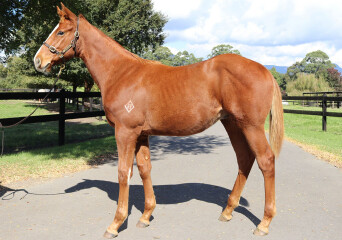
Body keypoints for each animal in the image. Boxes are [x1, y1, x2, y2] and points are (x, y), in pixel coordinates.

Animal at [34, 3, 284, 238]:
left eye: (60, 32)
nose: (38, 61)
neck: (121, 73)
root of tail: (265, 71)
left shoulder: (125, 132)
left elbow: (123, 172)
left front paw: (115, 224)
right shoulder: (141, 134)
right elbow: (145, 169)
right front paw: (145, 216)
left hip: (251, 126)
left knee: (266, 160)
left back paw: (264, 223)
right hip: (233, 124)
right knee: (244, 159)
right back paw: (228, 211)